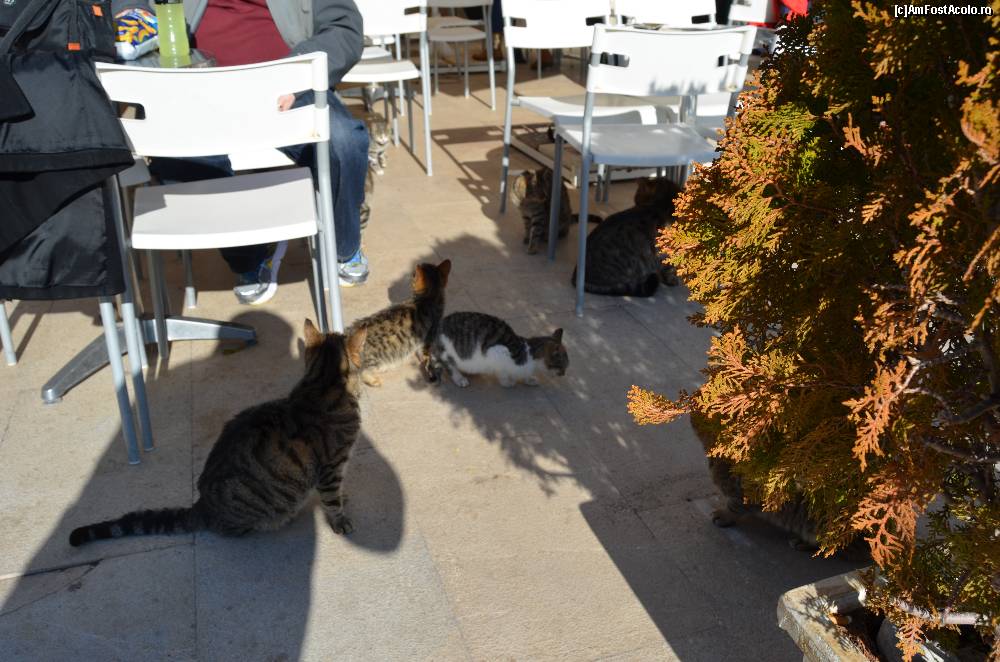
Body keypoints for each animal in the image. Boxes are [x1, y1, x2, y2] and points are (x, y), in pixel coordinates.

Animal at [431, 312, 568, 387]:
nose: (564, 374)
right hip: (448, 351)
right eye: (562, 366)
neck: (529, 354)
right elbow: (502, 373)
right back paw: (459, 378)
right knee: (448, 364)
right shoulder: (496, 353)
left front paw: (529, 379)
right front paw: (508, 382)